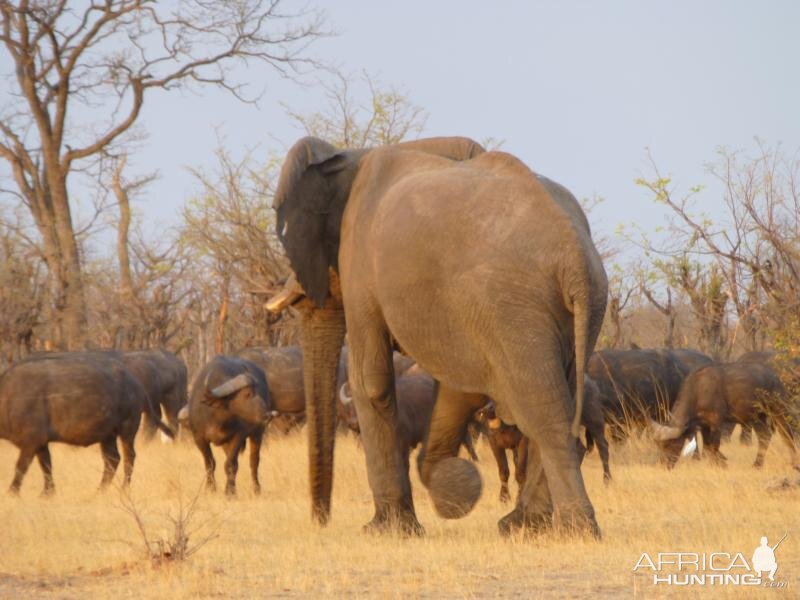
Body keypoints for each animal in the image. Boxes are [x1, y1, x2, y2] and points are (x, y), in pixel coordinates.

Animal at [268, 137, 608, 540]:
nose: (321, 520)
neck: (350, 156)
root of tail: (574, 260)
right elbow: (457, 386)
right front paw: (450, 490)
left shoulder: (360, 261)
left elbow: (371, 381)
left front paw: (386, 529)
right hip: (575, 311)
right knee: (561, 399)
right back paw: (522, 525)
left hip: (513, 307)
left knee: (544, 414)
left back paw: (574, 530)